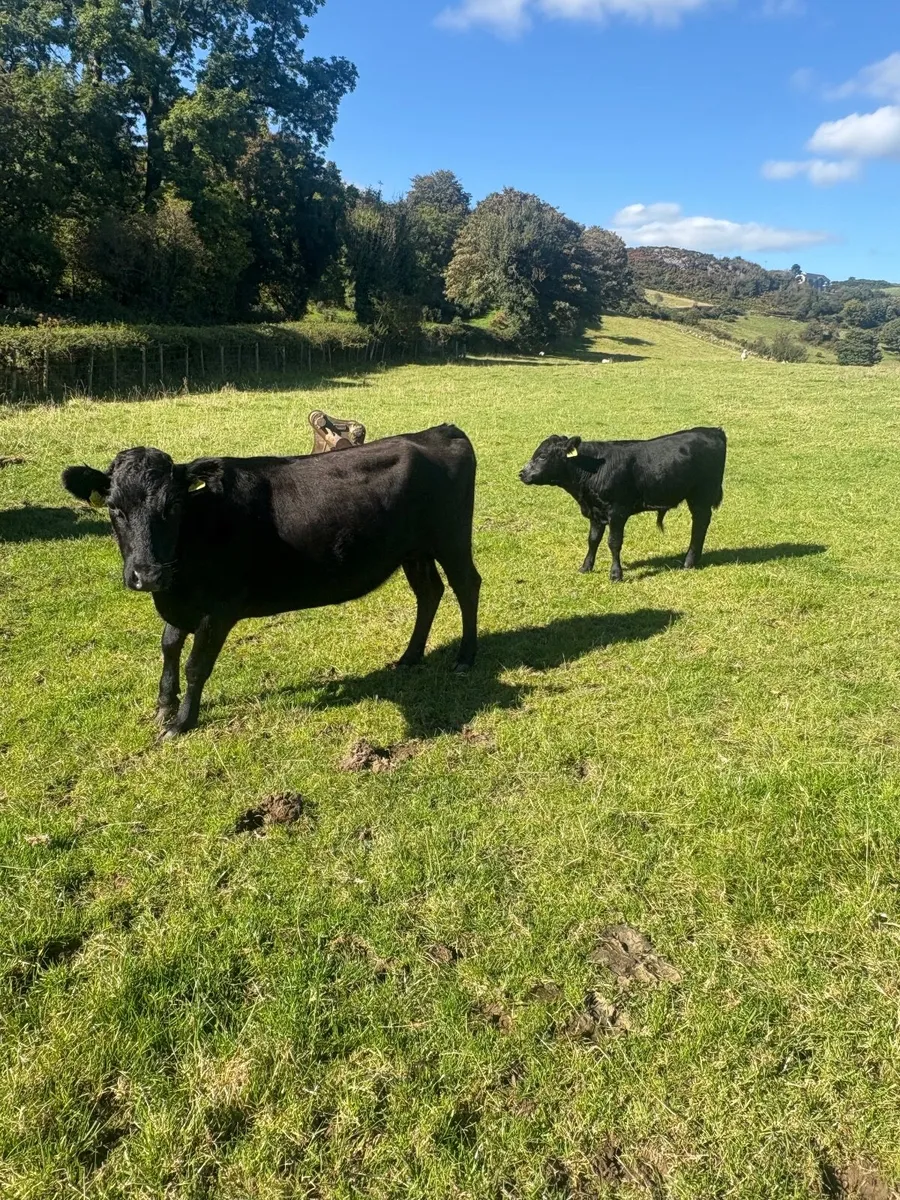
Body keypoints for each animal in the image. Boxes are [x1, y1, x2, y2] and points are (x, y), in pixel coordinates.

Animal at [61, 425, 480, 736]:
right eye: (115, 507)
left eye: (174, 505)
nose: (147, 573)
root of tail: (441, 430)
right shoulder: (181, 599)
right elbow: (169, 646)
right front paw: (165, 704)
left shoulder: (219, 609)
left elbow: (196, 664)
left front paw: (182, 722)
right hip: (415, 551)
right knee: (429, 592)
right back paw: (410, 656)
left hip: (451, 538)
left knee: (467, 586)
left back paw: (465, 658)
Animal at [519, 426, 726, 581]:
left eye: (543, 456)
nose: (522, 473)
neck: (594, 468)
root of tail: (713, 430)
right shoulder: (596, 512)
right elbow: (593, 540)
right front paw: (586, 567)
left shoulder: (617, 512)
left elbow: (614, 542)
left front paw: (615, 574)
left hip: (701, 495)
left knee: (699, 525)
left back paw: (688, 562)